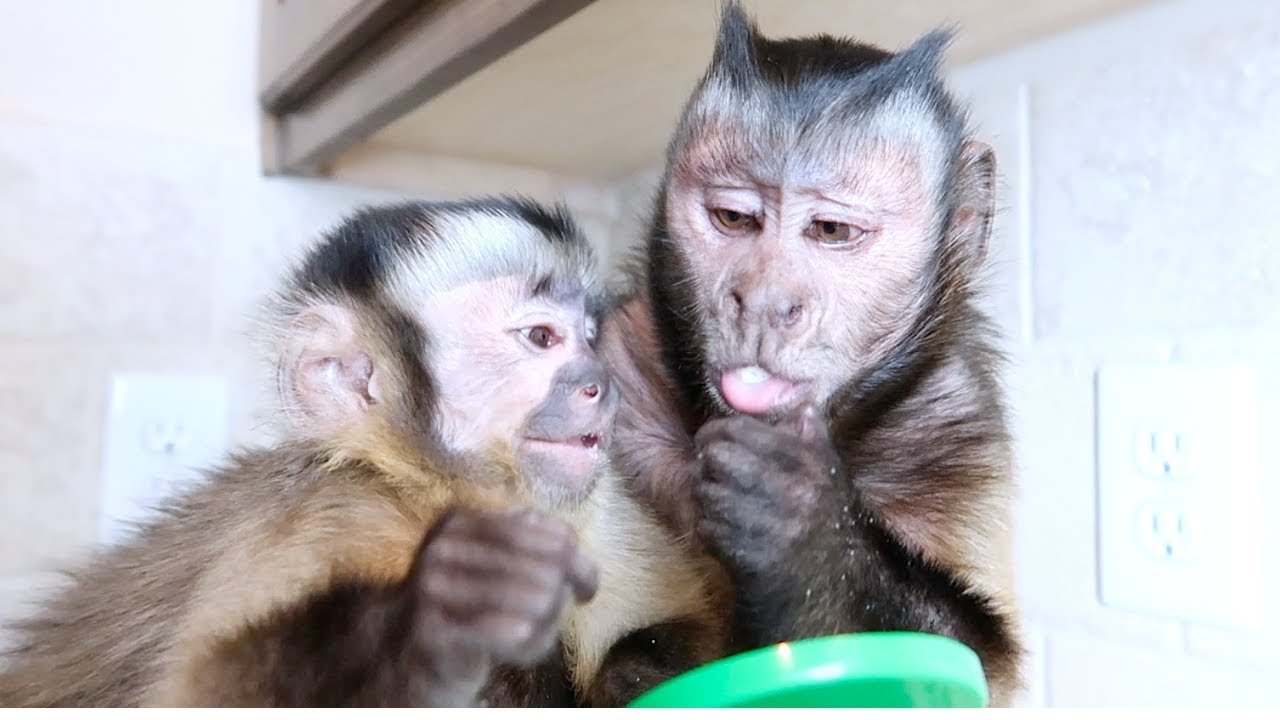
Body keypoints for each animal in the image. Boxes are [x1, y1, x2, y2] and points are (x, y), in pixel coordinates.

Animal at [0, 197, 723, 707]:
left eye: (591, 337)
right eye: (543, 338)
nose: (600, 384)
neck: (443, 490)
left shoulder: (606, 519)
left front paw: (632, 672)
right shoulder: (332, 514)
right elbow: (199, 691)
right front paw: (432, 617)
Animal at [596, 3, 1025, 706]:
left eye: (830, 231)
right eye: (734, 218)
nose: (764, 301)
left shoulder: (957, 428)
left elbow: (980, 662)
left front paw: (805, 532)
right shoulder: (616, 359)